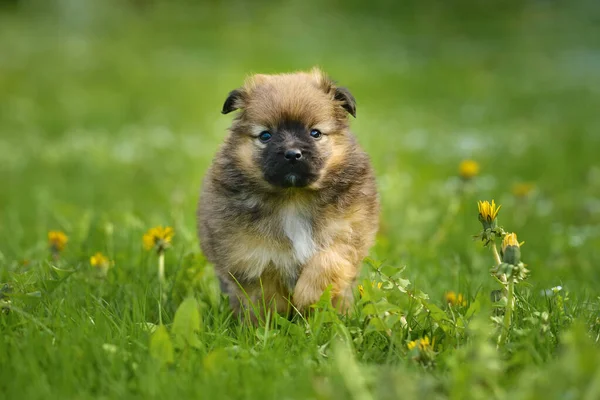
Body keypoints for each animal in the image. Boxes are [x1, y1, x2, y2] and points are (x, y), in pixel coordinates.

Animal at [198, 67, 380, 320]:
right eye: (266, 135)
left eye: (315, 133)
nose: (292, 154)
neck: (293, 197)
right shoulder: (251, 252)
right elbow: (267, 290)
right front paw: (272, 322)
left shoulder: (348, 232)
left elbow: (327, 262)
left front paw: (307, 298)